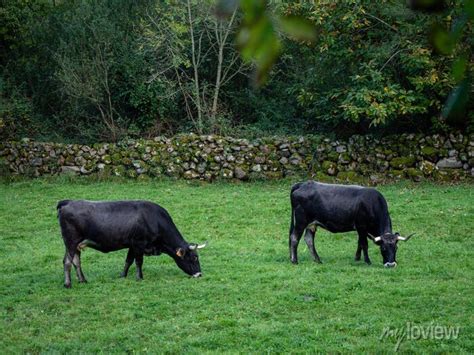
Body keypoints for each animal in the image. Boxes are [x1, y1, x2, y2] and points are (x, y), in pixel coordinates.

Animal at [57, 200, 206, 290]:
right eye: (194, 258)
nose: (199, 274)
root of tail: (67, 202)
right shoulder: (139, 243)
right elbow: (139, 261)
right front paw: (140, 277)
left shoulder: (132, 245)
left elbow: (128, 260)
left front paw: (123, 275)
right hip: (71, 241)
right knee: (68, 262)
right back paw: (68, 284)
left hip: (73, 244)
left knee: (75, 261)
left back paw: (83, 280)